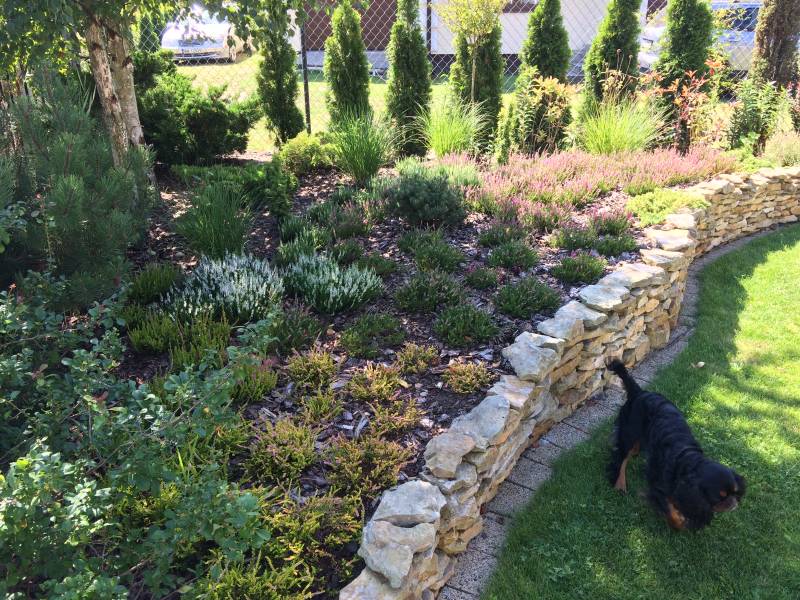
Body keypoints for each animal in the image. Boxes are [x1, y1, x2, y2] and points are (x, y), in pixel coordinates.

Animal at [607, 359, 745, 530]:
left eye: (735, 492)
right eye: (719, 497)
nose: (733, 504)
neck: (687, 460)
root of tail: (640, 392)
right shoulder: (659, 485)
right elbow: (671, 510)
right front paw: (680, 523)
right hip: (629, 432)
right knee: (621, 457)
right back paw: (620, 484)